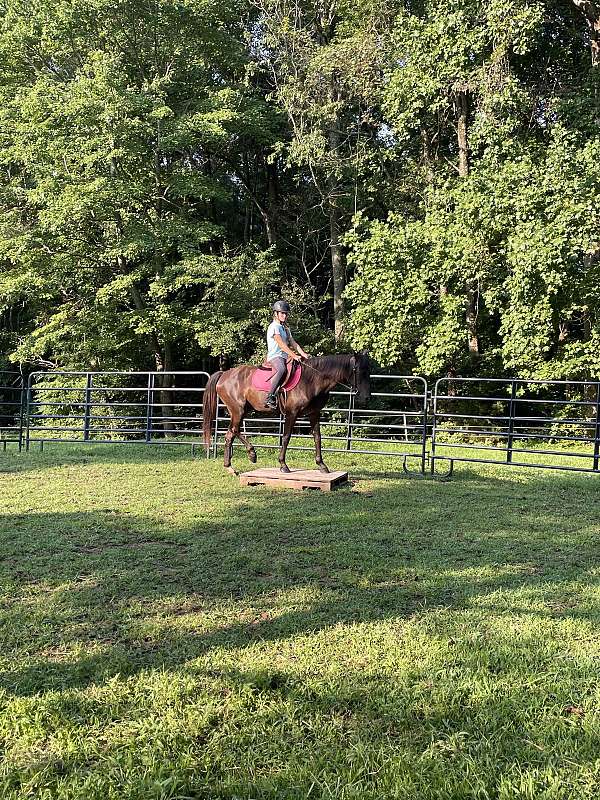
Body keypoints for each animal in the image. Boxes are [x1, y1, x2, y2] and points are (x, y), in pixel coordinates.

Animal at [202, 352, 370, 476]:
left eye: (368, 372)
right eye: (358, 371)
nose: (366, 397)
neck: (311, 380)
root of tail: (224, 374)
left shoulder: (314, 414)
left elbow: (317, 437)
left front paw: (322, 465)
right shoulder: (291, 414)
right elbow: (286, 437)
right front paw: (283, 465)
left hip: (242, 411)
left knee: (231, 433)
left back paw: (236, 462)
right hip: (238, 410)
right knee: (233, 431)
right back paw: (244, 458)